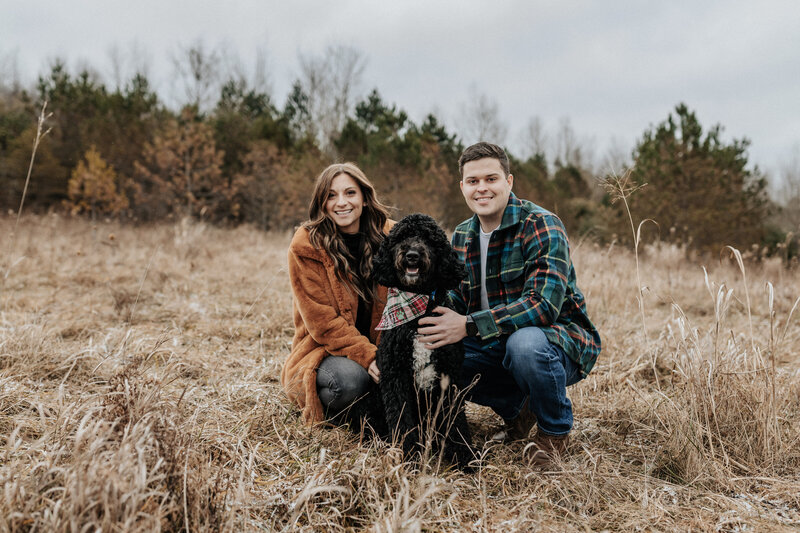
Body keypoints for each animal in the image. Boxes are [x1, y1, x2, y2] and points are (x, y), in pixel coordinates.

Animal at [370, 214, 472, 468]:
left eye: (429, 240)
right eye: (402, 237)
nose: (412, 255)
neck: (417, 317)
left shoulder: (449, 375)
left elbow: (455, 420)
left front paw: (465, 456)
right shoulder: (395, 376)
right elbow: (402, 420)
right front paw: (409, 456)